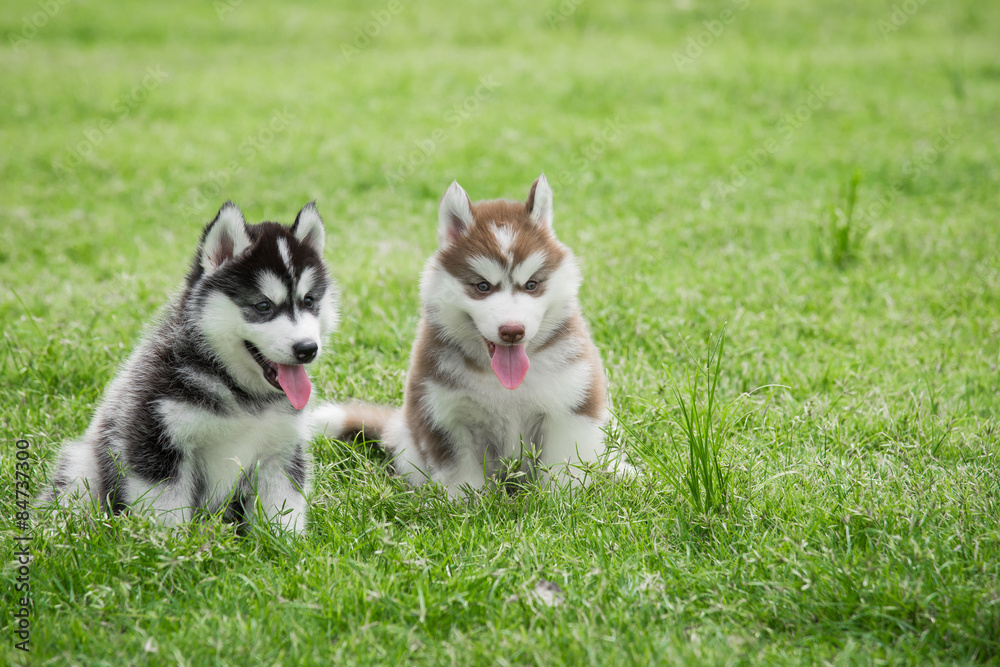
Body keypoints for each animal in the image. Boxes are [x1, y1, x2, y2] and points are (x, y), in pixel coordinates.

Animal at [45, 204, 340, 532]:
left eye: (309, 301)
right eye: (263, 306)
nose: (307, 349)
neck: (241, 394)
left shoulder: (281, 453)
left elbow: (283, 512)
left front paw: (283, 543)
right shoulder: (157, 442)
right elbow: (167, 514)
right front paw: (170, 544)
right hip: (81, 463)